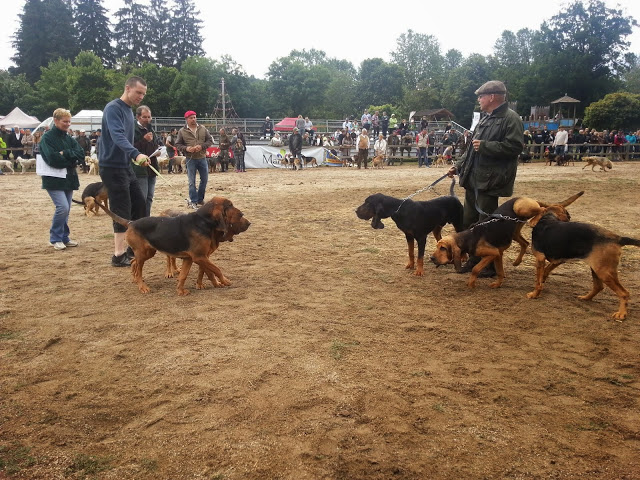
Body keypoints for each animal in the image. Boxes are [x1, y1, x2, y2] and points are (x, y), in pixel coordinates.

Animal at [97, 196, 250, 294]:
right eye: (230, 206)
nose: (247, 220)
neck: (203, 222)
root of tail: (131, 222)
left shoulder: (192, 258)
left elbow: (185, 275)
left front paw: (180, 291)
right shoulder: (200, 257)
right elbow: (216, 270)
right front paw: (225, 281)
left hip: (147, 252)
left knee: (134, 262)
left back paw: (135, 279)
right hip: (143, 253)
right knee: (138, 268)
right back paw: (142, 287)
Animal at [430, 192, 584, 288]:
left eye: (443, 248)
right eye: (437, 247)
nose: (431, 258)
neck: (469, 237)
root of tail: (523, 197)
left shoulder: (492, 254)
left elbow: (475, 269)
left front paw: (472, 284)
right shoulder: (498, 254)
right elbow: (500, 272)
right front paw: (498, 284)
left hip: (521, 208)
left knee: (543, 209)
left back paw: (537, 219)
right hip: (515, 231)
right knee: (526, 242)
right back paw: (517, 262)